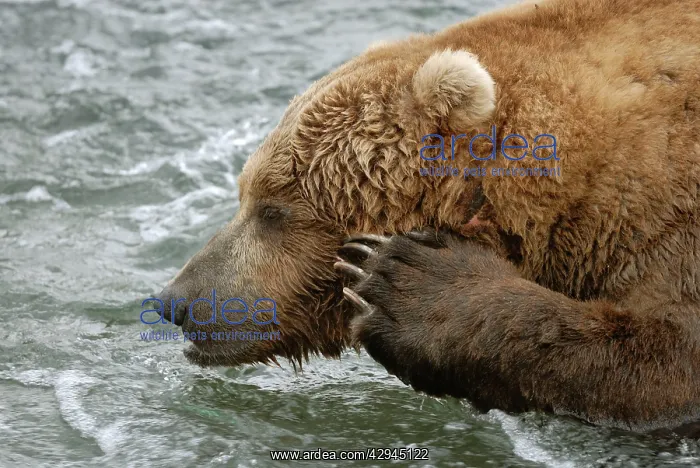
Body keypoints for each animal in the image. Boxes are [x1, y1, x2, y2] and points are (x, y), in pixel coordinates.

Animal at [154, 0, 700, 435]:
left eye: (273, 209)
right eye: (244, 194)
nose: (176, 301)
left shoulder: (670, 227)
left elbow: (665, 358)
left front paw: (402, 277)